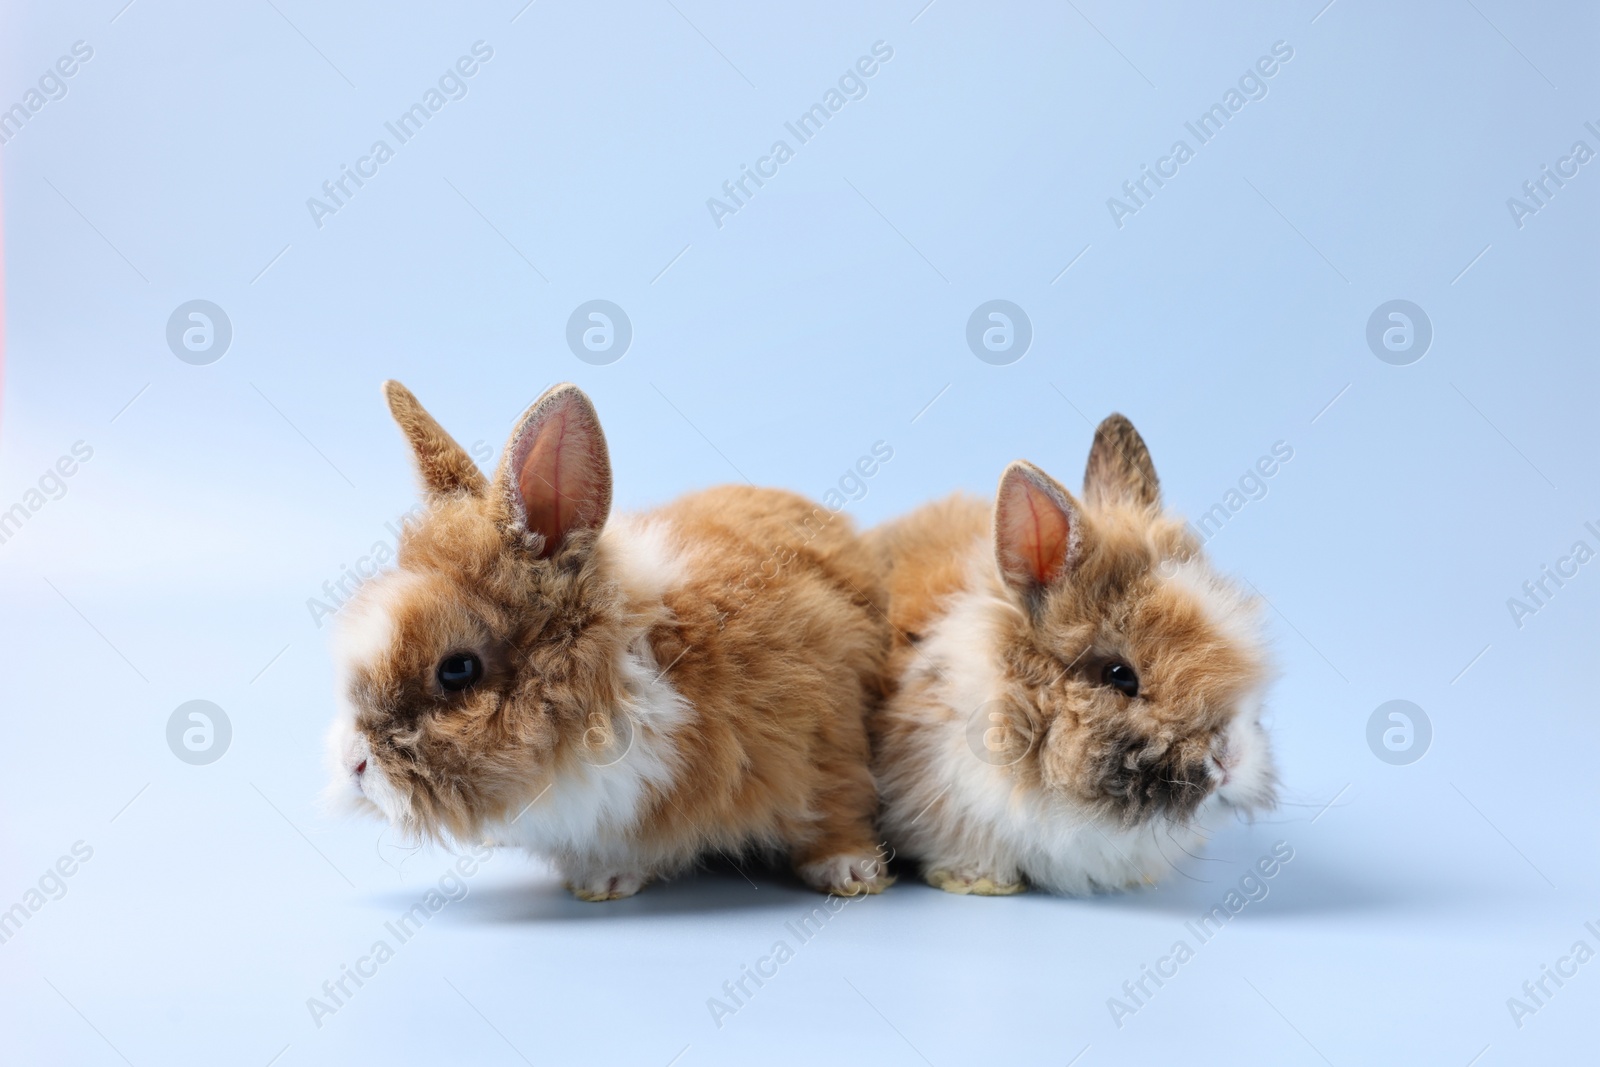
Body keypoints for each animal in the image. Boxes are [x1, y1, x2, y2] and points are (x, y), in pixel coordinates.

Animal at [326, 383, 896, 902]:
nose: (355, 766)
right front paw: (602, 880)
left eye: (458, 670)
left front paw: (852, 872)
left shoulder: (827, 731)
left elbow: (835, 802)